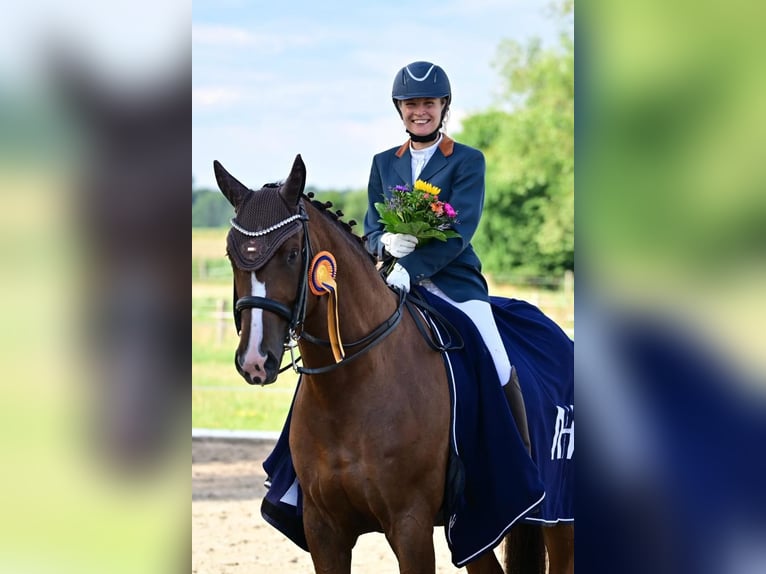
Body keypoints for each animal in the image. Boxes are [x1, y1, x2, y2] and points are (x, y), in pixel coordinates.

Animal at [213, 155, 572, 572]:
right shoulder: (323, 528)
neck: (347, 390)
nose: (255, 360)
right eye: (231, 255)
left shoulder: (409, 524)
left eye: (291, 253)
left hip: (550, 517)